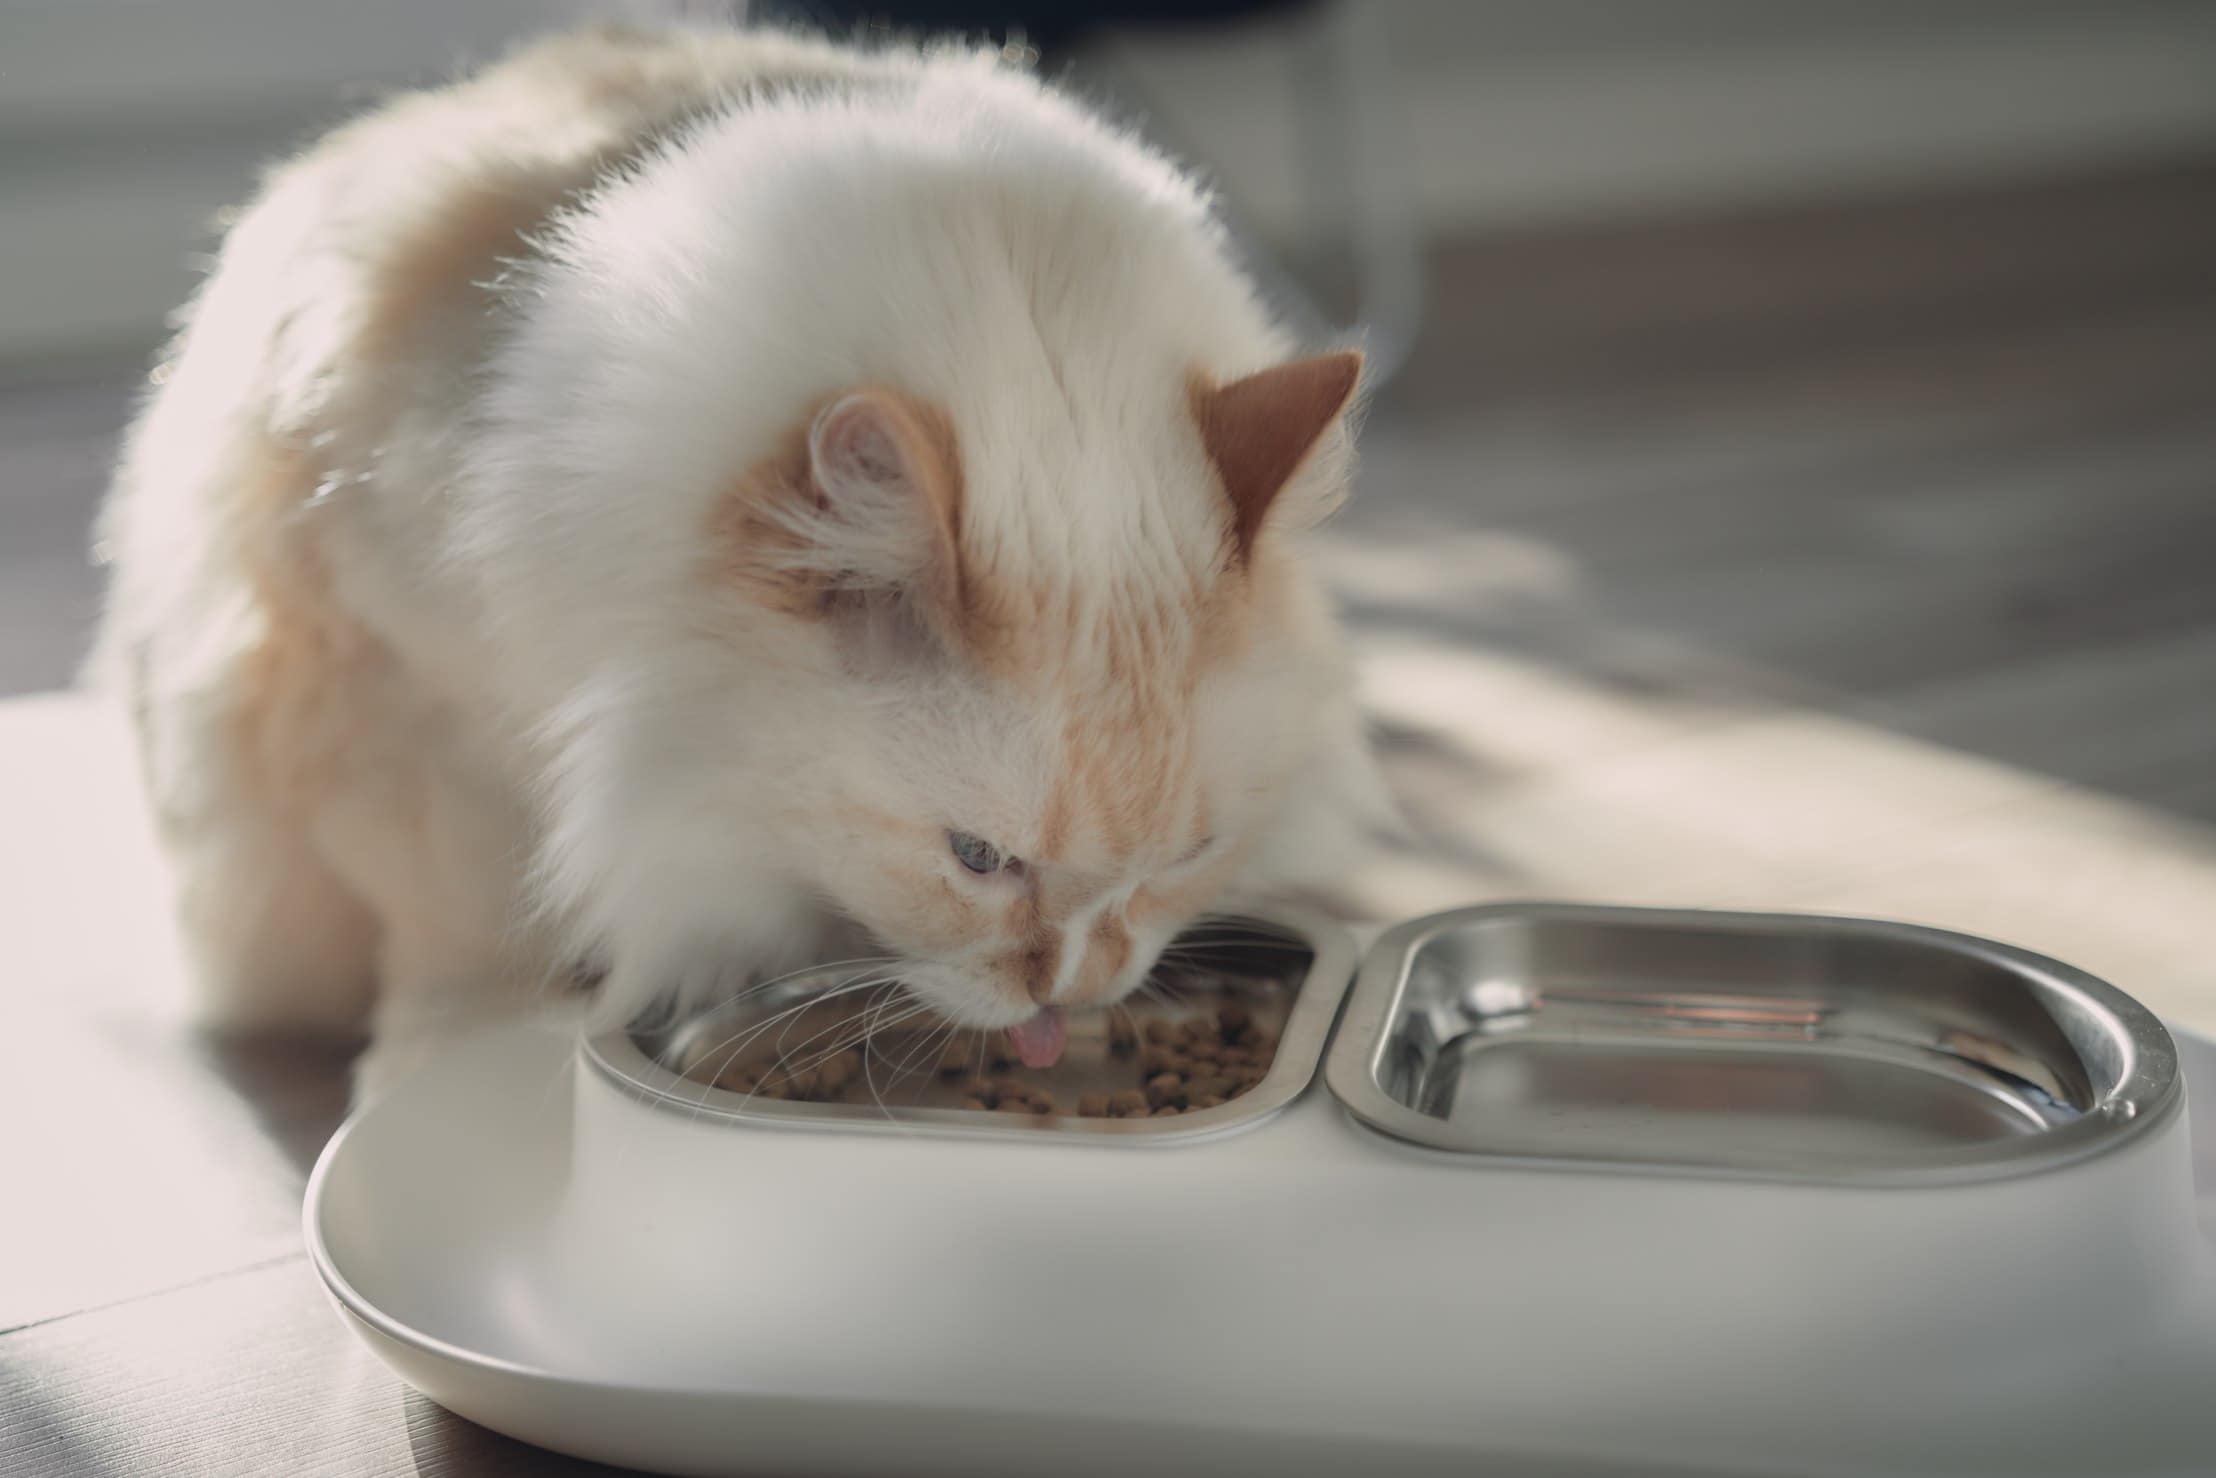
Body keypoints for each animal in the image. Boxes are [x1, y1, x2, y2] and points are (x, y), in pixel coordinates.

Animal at [104, 17, 1391, 1094]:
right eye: (978, 858)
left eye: (1190, 854)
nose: (1074, 991)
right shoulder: (405, 701)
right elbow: (461, 939)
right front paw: (455, 1058)